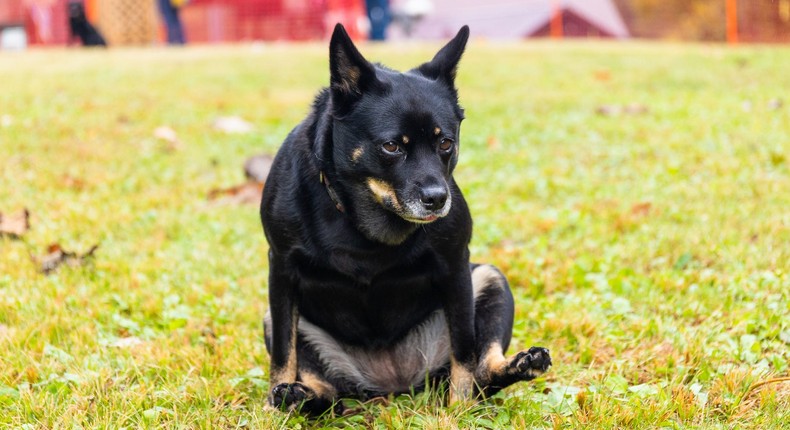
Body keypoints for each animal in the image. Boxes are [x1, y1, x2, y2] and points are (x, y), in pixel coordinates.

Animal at [260, 22, 552, 414]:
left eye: (445, 143)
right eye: (392, 146)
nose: (437, 199)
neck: (366, 216)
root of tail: (394, 384)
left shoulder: (456, 268)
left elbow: (464, 352)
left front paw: (458, 411)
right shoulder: (281, 271)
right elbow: (283, 354)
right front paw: (272, 406)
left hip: (491, 279)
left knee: (482, 370)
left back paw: (520, 365)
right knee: (327, 391)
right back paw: (299, 397)